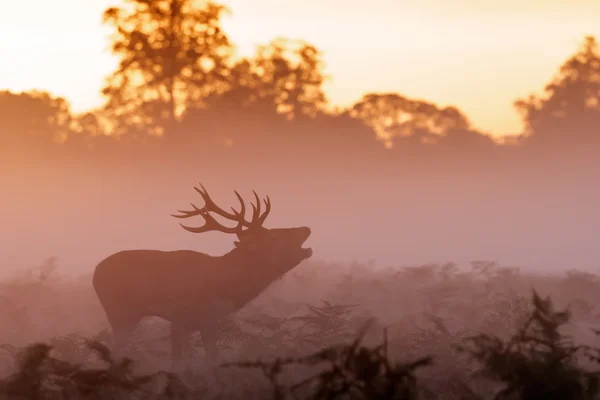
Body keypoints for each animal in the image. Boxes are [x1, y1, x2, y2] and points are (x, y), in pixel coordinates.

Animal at [94, 184, 314, 372]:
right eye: (274, 237)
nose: (306, 228)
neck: (223, 284)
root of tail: (95, 274)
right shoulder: (181, 316)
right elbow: (182, 361)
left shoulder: (207, 319)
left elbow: (207, 357)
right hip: (118, 311)